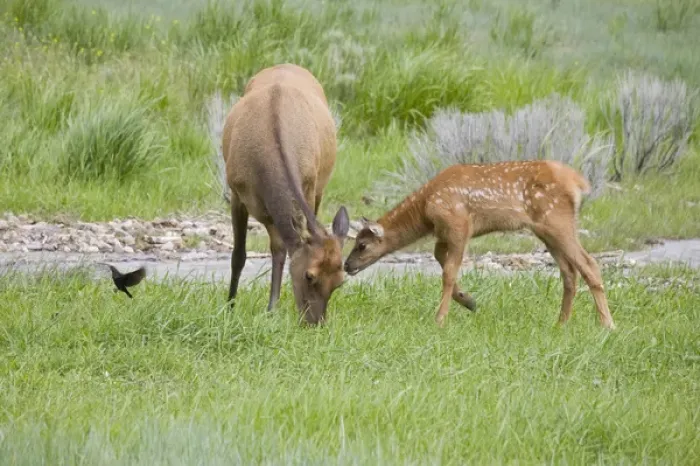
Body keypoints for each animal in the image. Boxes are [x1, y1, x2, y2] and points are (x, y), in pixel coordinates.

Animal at [222, 64, 350, 325]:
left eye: (340, 282)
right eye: (310, 276)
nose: (315, 323)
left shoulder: (309, 187)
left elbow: (281, 248)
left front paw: (272, 308)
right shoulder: (236, 192)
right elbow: (238, 256)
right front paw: (229, 308)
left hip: (317, 189)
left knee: (280, 246)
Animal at [344, 160, 616, 330]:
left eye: (362, 245)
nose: (347, 265)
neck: (425, 211)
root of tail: (578, 182)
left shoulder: (458, 225)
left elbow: (449, 273)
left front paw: (440, 319)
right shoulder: (444, 234)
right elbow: (441, 260)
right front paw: (468, 300)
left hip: (557, 221)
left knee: (589, 264)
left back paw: (607, 325)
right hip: (546, 230)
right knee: (569, 272)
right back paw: (561, 323)